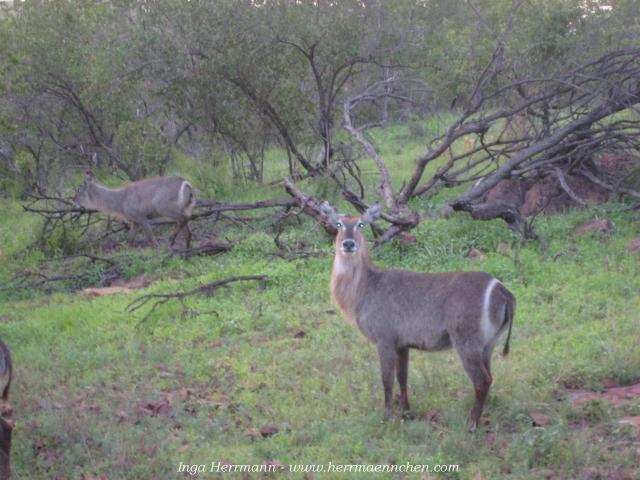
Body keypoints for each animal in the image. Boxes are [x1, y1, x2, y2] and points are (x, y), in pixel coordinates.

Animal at [320, 202, 516, 432]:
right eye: (339, 224)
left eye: (361, 224)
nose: (349, 244)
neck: (365, 287)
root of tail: (503, 291)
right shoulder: (402, 344)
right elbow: (402, 377)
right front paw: (406, 413)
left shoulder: (384, 339)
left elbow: (387, 379)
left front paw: (387, 418)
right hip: (488, 345)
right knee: (490, 377)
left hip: (466, 342)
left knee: (481, 380)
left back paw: (471, 425)